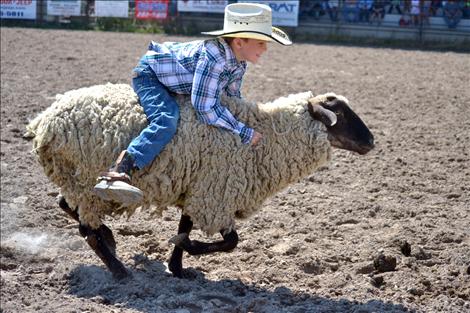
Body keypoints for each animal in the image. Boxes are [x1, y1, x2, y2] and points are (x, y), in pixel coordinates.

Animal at [26, 83, 374, 278]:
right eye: (341, 115)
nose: (371, 141)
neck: (264, 136)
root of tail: (44, 122)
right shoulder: (215, 193)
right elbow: (230, 242)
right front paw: (186, 249)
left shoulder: (201, 188)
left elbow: (187, 226)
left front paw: (177, 267)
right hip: (86, 179)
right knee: (87, 228)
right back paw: (118, 270)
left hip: (80, 181)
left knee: (69, 206)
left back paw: (109, 238)